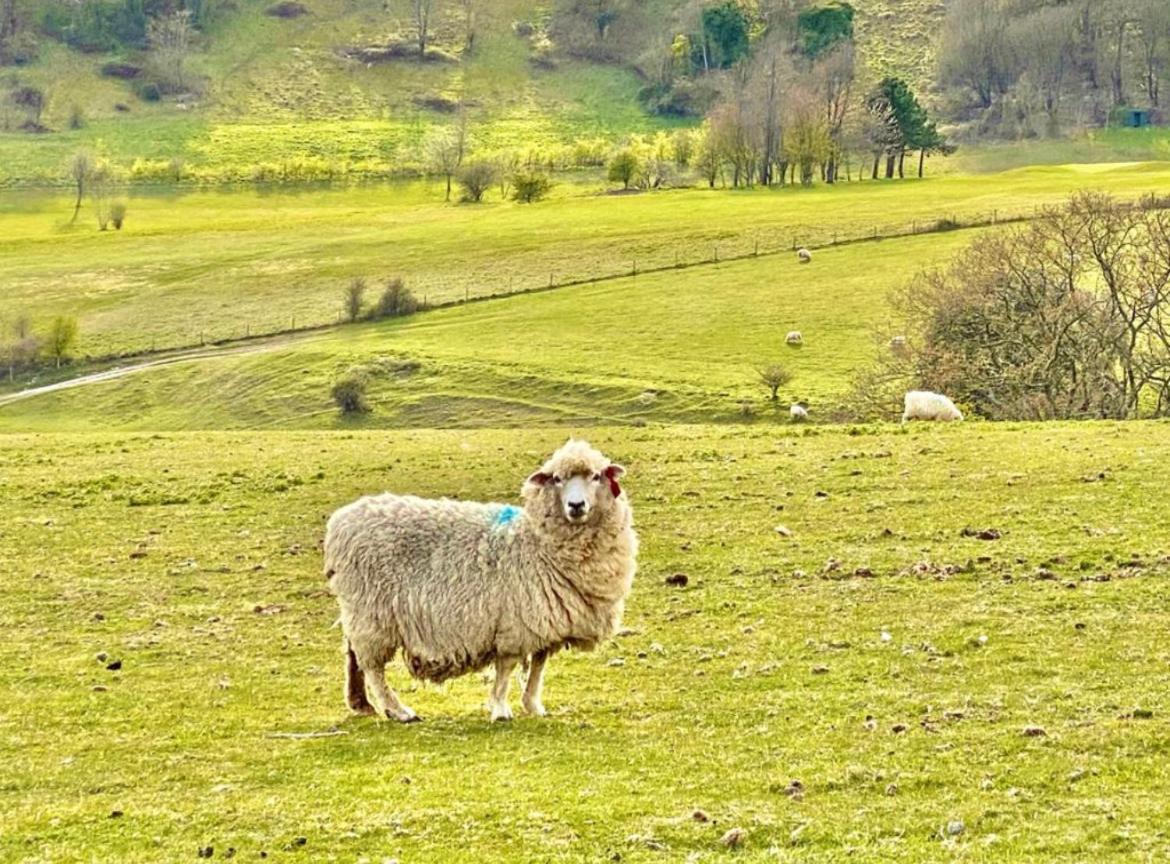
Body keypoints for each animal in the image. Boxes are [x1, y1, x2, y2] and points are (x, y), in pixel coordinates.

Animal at [322, 437, 641, 721]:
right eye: (557, 479)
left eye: (596, 476)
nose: (576, 505)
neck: (536, 542)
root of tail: (340, 520)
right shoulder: (515, 622)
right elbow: (506, 668)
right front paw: (500, 709)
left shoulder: (545, 619)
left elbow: (538, 665)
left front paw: (533, 705)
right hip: (372, 612)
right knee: (372, 665)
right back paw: (398, 710)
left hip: (362, 611)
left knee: (352, 653)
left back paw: (360, 703)